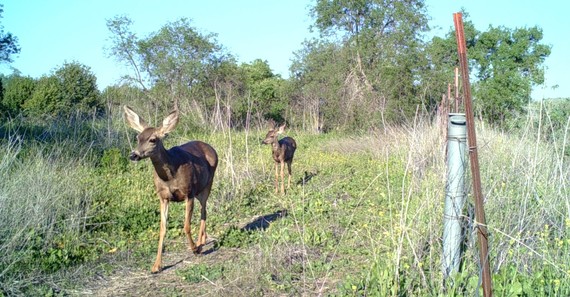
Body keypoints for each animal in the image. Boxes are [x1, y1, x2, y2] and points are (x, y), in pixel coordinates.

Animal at [122, 105, 217, 272]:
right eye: (137, 138)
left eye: (153, 139)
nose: (133, 155)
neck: (169, 177)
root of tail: (211, 148)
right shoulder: (163, 197)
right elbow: (162, 228)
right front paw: (156, 265)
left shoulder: (188, 192)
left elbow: (186, 225)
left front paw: (194, 249)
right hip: (199, 191)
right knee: (203, 211)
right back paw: (203, 240)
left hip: (207, 184)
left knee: (204, 211)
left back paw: (200, 244)